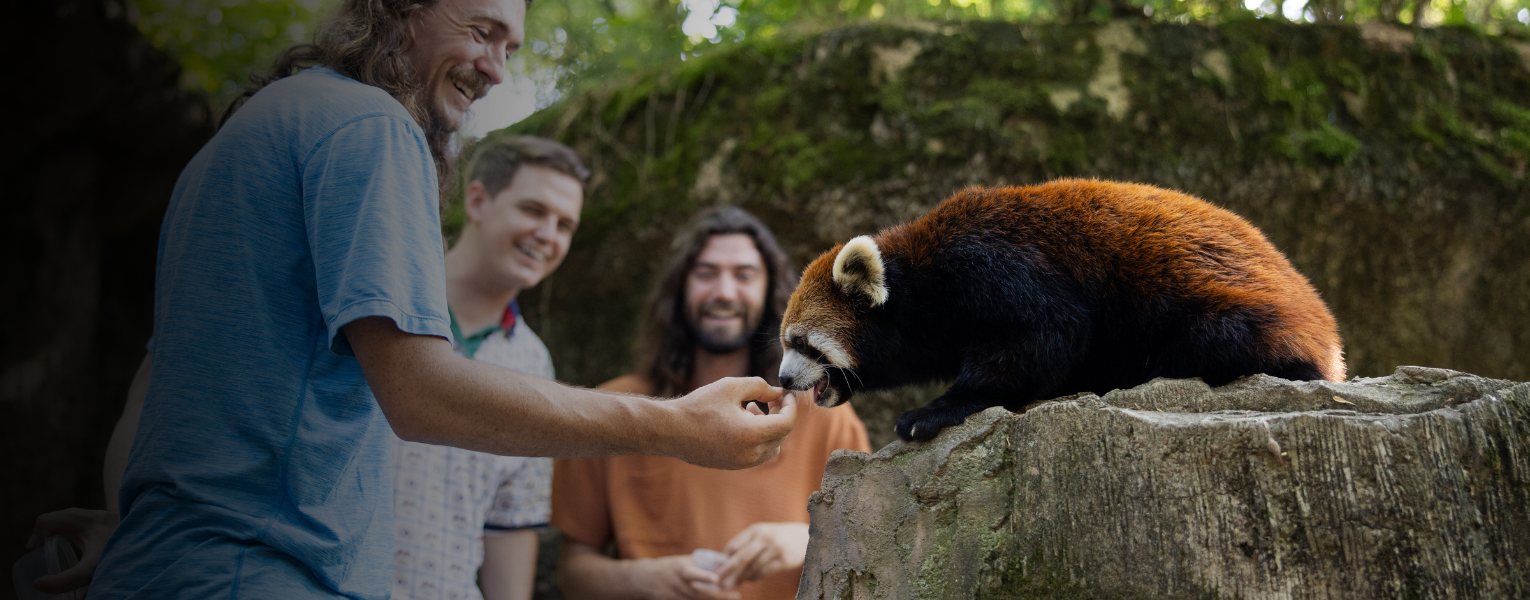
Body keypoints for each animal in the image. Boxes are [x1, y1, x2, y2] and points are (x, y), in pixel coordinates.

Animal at [778, 179, 1345, 442]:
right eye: (784, 343)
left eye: (803, 344)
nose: (783, 379)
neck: (921, 276)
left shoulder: (994, 267)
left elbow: (1044, 337)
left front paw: (936, 410)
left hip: (1232, 312)